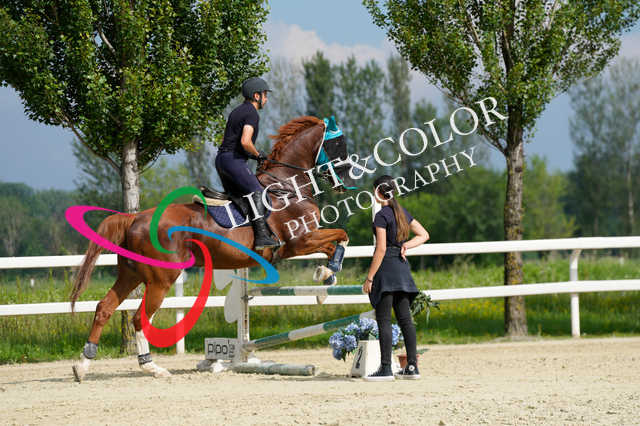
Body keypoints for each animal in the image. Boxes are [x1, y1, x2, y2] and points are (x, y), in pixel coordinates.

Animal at [69, 116, 357, 382]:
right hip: (160, 280)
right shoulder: (299, 242)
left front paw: (326, 278)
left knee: (104, 308)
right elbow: (341, 236)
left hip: (131, 274)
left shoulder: (301, 243)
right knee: (140, 318)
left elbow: (333, 243)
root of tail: (134, 218)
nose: (345, 181)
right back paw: (152, 367)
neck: (287, 187)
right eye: (338, 144)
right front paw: (327, 274)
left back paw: (82, 366)